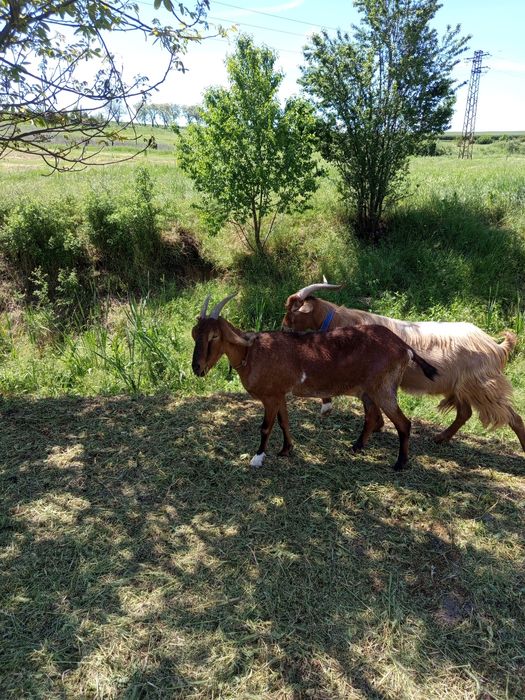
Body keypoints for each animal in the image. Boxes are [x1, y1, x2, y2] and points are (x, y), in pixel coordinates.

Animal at [192, 292, 438, 471]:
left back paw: (399, 463)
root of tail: (403, 346)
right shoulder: (280, 395)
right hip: (369, 391)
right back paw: (356, 447)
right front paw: (286, 449)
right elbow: (284, 422)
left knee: (403, 423)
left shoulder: (270, 397)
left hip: (383, 389)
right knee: (372, 418)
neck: (251, 353)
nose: (197, 368)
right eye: (195, 334)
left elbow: (265, 427)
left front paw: (258, 458)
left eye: (214, 336)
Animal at [283, 280, 525, 452]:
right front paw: (379, 426)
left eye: (292, 309)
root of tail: (496, 346)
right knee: (464, 413)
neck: (343, 322)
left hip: (483, 387)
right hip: (462, 388)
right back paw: (440, 437)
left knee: (514, 417)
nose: (283, 327)